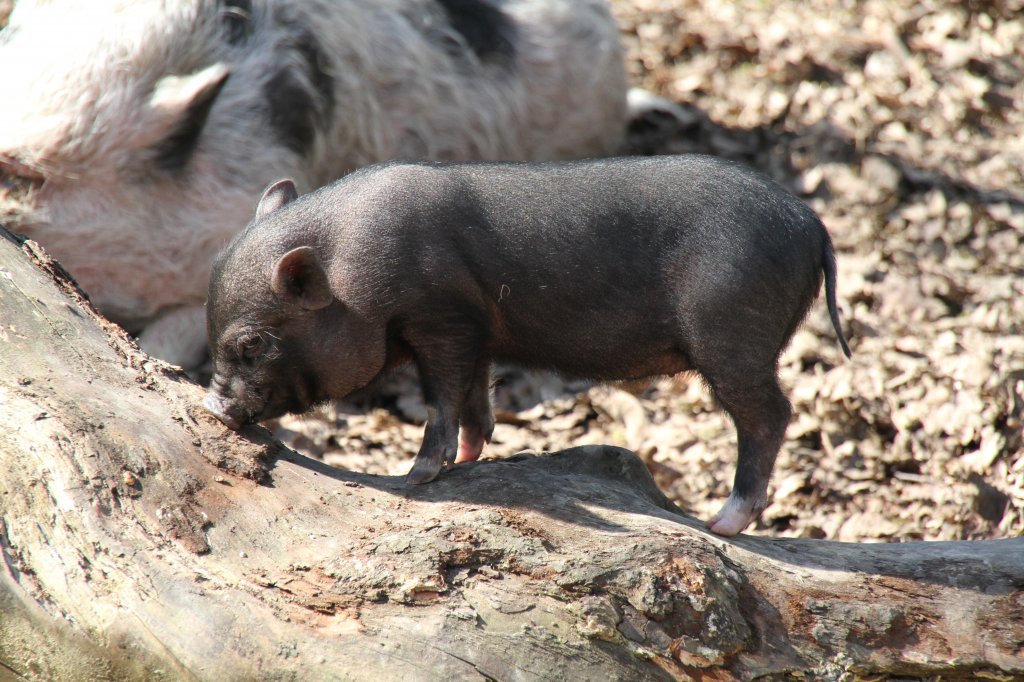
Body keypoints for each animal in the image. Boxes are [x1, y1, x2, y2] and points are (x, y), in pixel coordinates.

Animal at [203, 155, 851, 536]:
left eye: (251, 343)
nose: (213, 406)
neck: (349, 271)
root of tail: (814, 226)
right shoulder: (477, 332)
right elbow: (474, 398)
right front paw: (470, 459)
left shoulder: (442, 317)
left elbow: (442, 396)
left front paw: (415, 477)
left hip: (732, 335)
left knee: (771, 414)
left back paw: (722, 524)